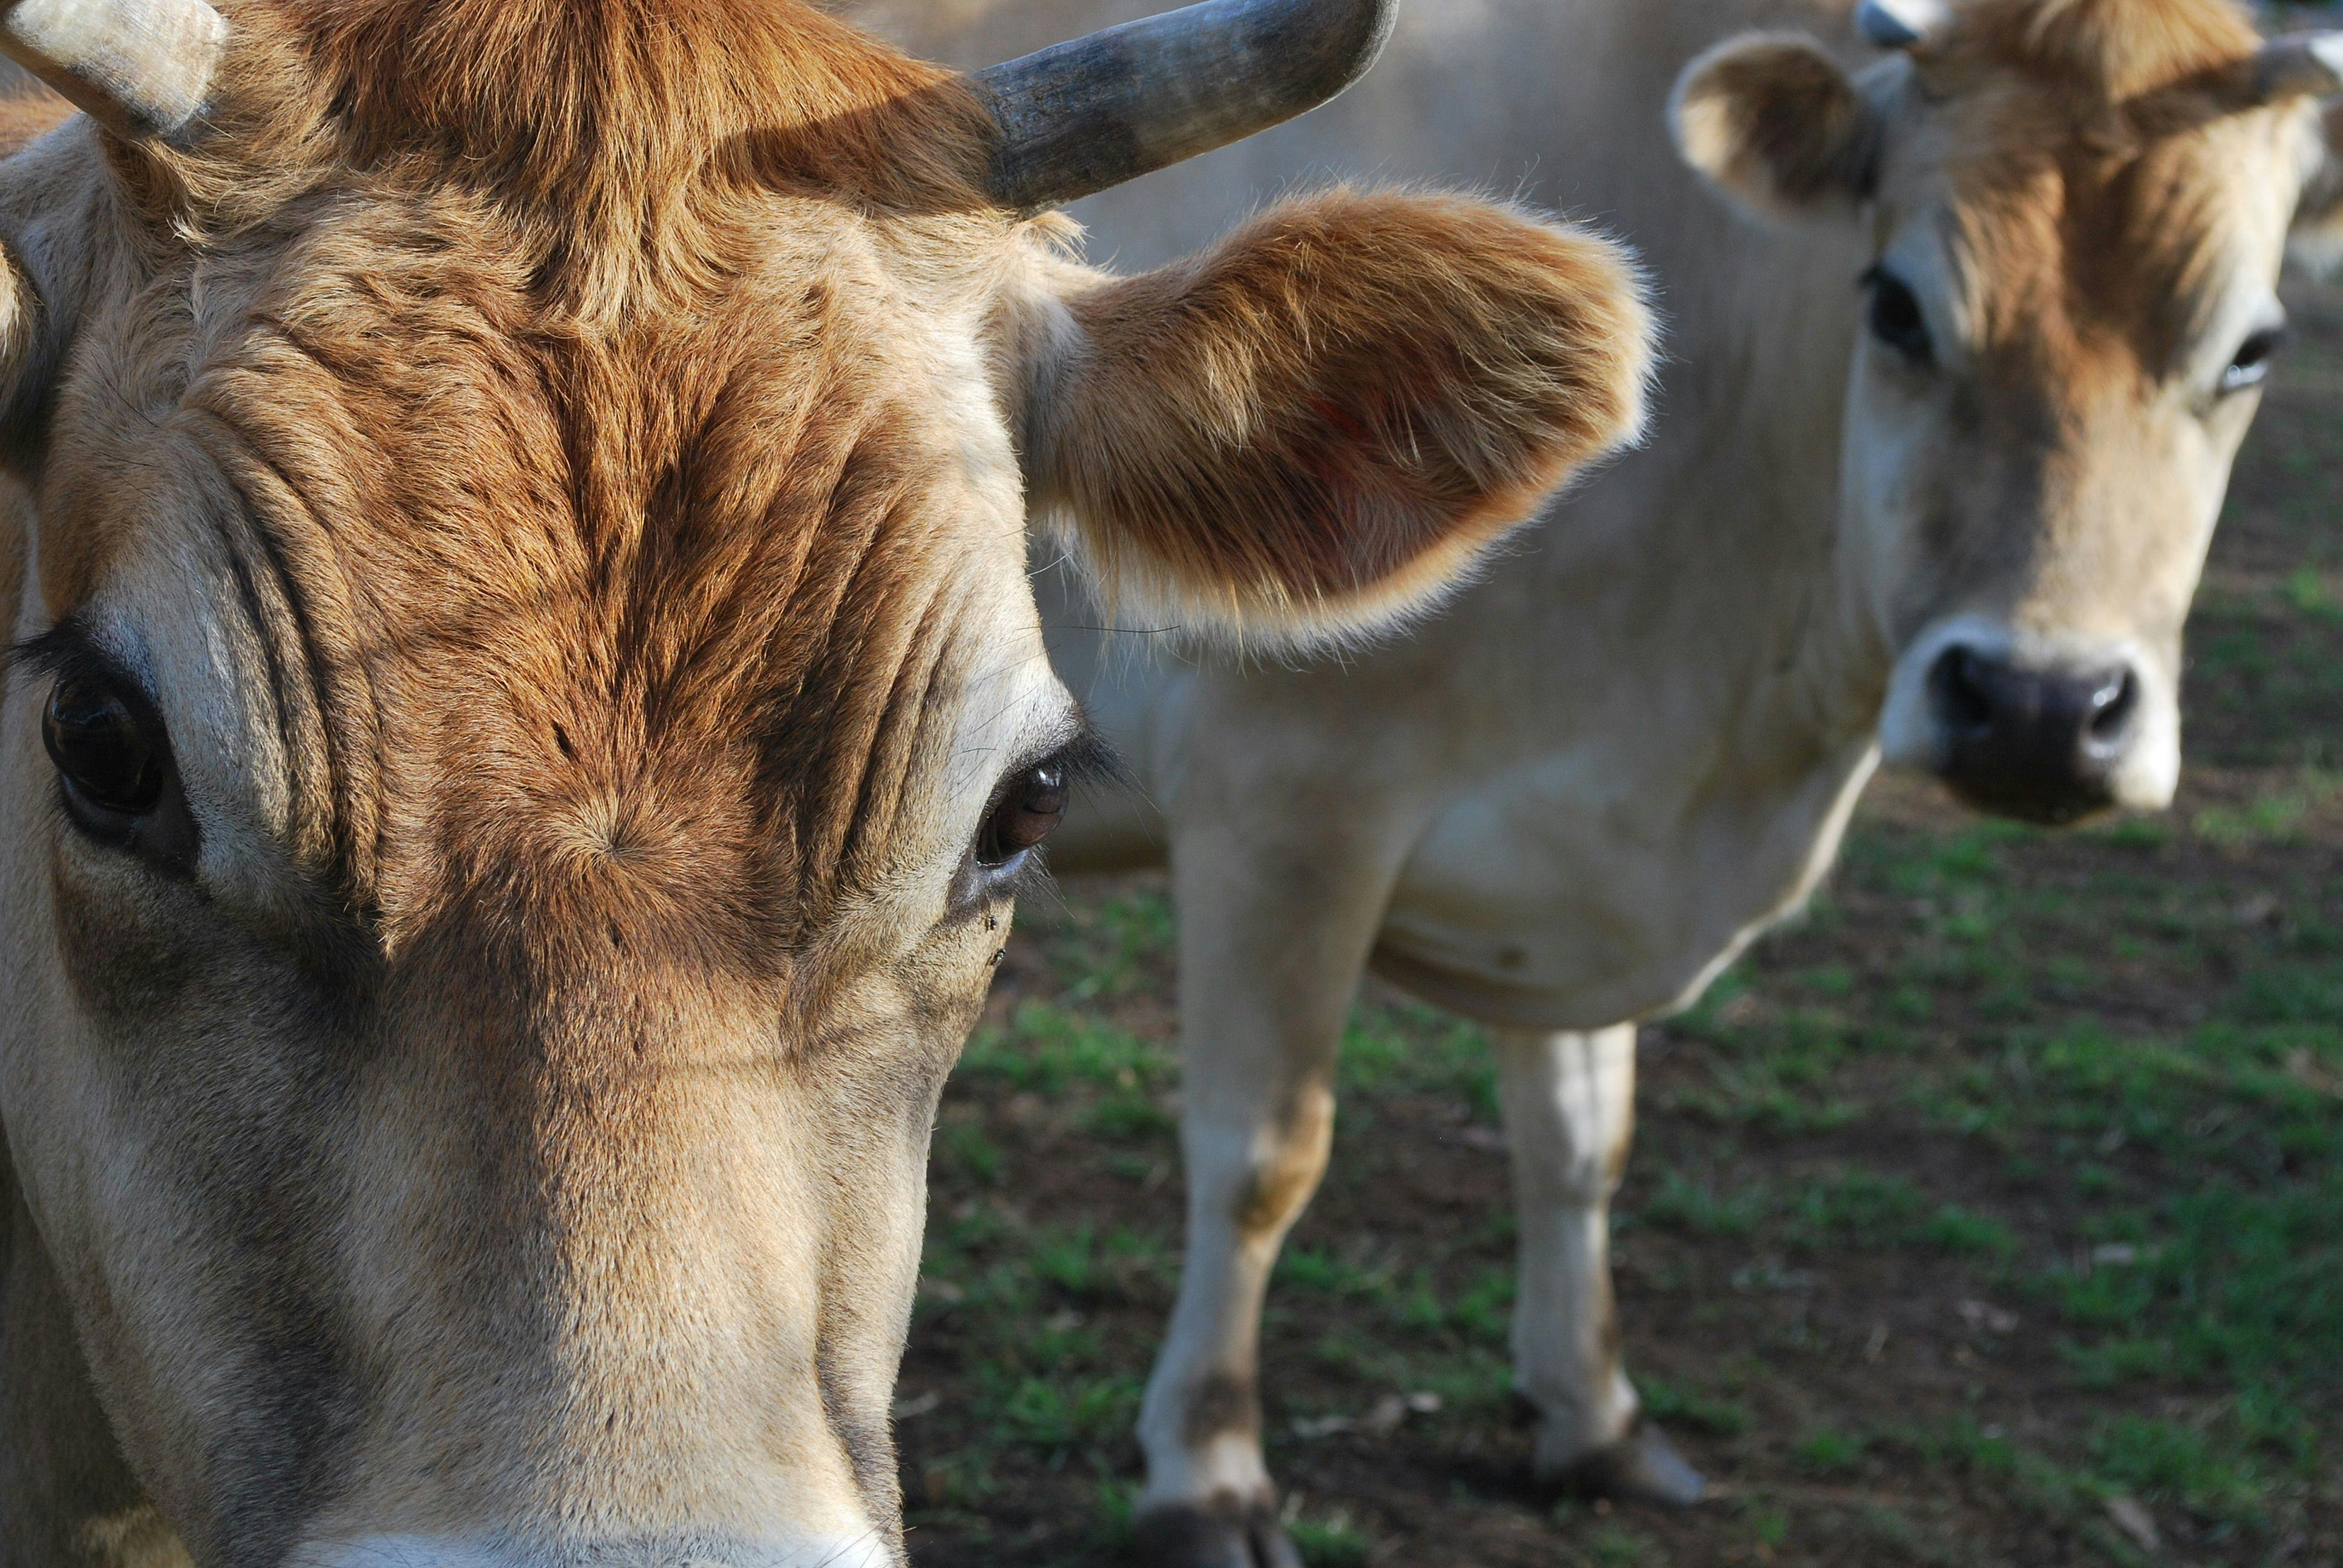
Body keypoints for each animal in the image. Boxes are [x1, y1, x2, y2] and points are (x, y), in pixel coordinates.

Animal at [858, 0, 2343, 1561]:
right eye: (1896, 307)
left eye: (2253, 349)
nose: (2040, 712)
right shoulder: (1283, 802)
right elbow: (1261, 1155)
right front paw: (1207, 1472)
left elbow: (1580, 1141)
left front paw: (1592, 1416)